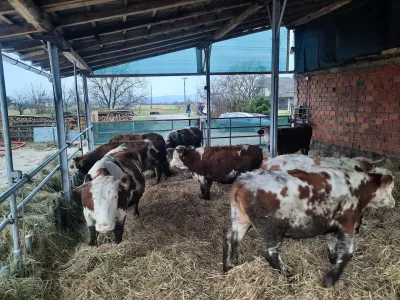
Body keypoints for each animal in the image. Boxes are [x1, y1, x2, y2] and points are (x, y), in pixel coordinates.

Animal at [223, 168, 396, 288]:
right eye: (391, 188)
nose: (394, 202)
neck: (358, 188)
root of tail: (242, 181)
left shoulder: (333, 226)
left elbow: (332, 245)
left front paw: (333, 260)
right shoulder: (347, 221)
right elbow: (347, 253)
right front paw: (329, 280)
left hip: (240, 219)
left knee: (230, 239)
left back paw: (229, 266)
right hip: (271, 228)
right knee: (270, 253)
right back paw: (288, 274)